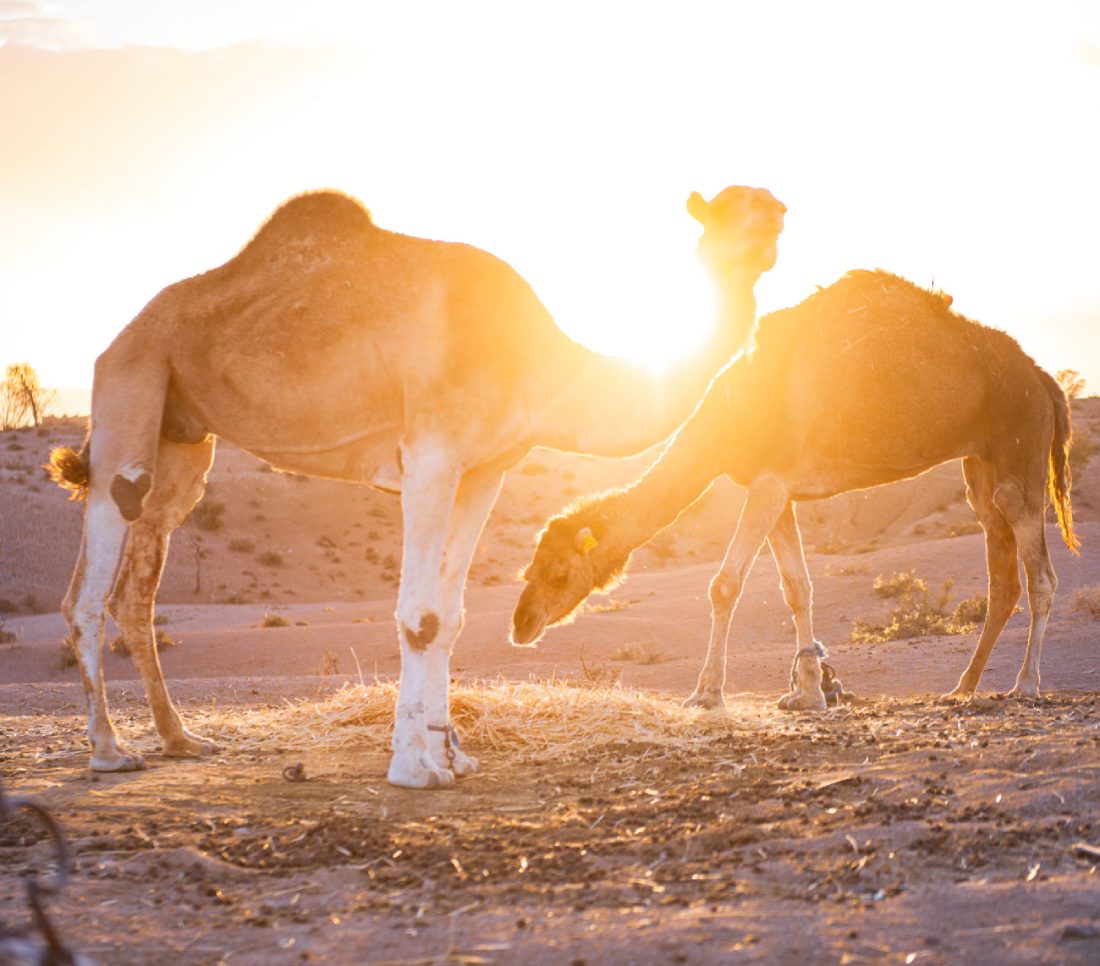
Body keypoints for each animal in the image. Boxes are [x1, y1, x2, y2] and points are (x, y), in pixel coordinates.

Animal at [47, 184, 787, 792]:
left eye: (773, 205)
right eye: (723, 211)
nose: (772, 226)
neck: (535, 360)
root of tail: (117, 340)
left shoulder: (486, 467)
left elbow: (451, 615)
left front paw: (453, 754)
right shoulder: (431, 454)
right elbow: (421, 615)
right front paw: (414, 766)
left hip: (183, 443)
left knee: (137, 584)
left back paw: (179, 739)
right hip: (130, 393)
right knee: (89, 583)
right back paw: (109, 751)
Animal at [512, 272, 1073, 712]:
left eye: (559, 573)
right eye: (530, 568)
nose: (521, 624)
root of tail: (1043, 378)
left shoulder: (768, 482)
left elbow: (724, 584)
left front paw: (706, 693)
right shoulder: (779, 491)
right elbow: (796, 588)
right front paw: (808, 693)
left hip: (1021, 449)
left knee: (1040, 573)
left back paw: (1025, 685)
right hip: (980, 465)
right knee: (1003, 575)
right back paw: (963, 687)